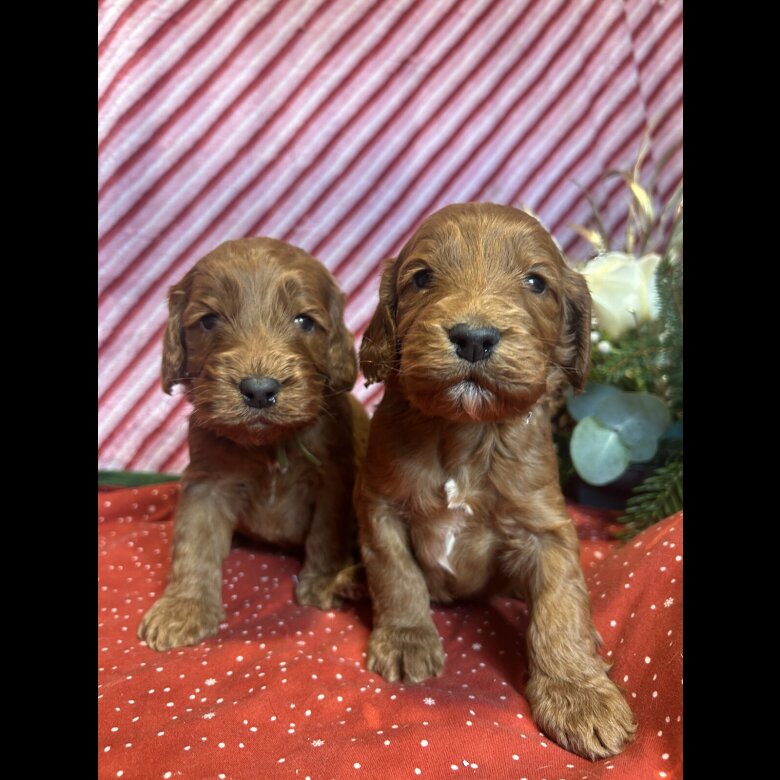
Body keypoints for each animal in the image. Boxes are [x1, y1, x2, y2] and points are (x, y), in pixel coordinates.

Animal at [138, 238, 368, 652]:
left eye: (304, 321)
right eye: (209, 321)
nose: (259, 390)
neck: (268, 443)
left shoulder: (333, 479)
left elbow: (327, 532)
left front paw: (322, 582)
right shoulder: (206, 481)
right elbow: (193, 541)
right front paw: (183, 608)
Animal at [355, 203, 636, 760]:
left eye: (536, 282)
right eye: (421, 278)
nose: (474, 337)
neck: (465, 431)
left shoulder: (548, 527)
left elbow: (560, 605)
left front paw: (579, 693)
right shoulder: (378, 505)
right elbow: (396, 573)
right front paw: (406, 639)